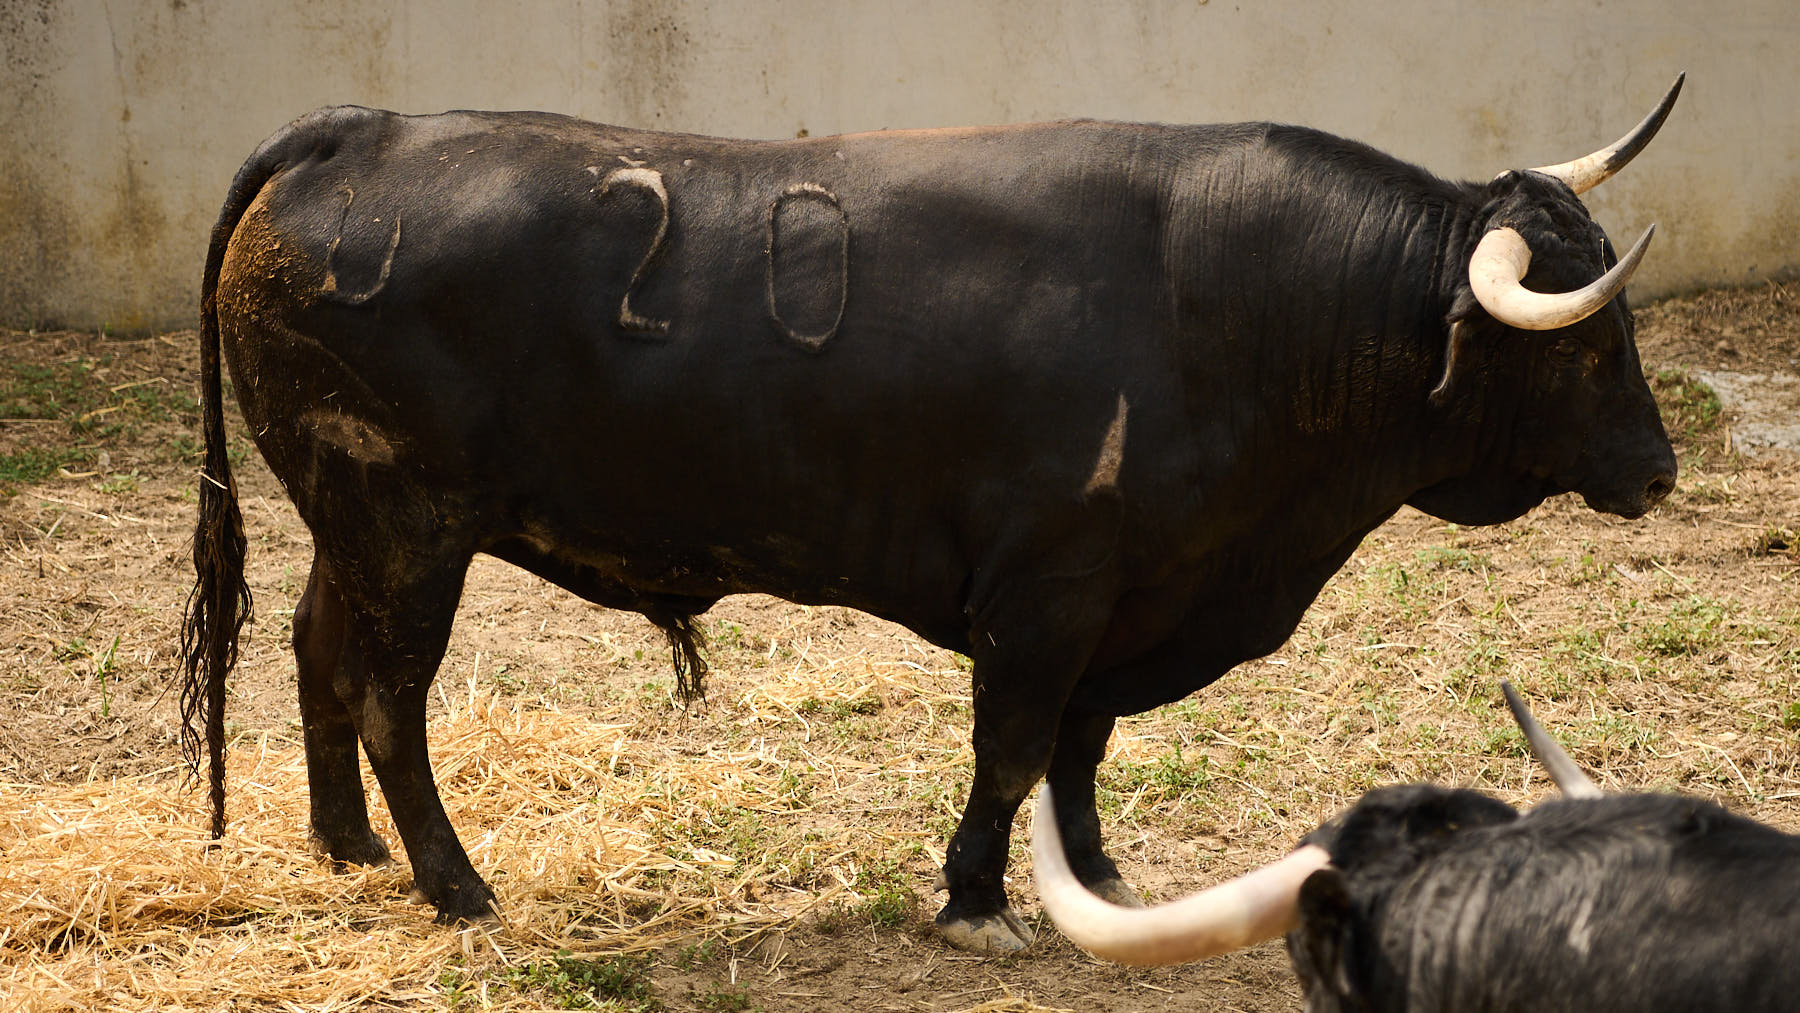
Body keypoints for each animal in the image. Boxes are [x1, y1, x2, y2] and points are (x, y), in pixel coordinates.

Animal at [179, 87, 1670, 950]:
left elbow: (1078, 749)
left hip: (354, 525)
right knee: (391, 697)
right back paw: (452, 882)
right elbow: (1012, 749)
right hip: (406, 525)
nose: (1658, 470)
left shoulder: (1124, 594)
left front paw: (1097, 877)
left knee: (318, 652)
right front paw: (977, 901)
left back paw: (346, 846)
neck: (1240, 304)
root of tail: (357, 129)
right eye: (1589, 344)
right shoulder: (1048, 590)